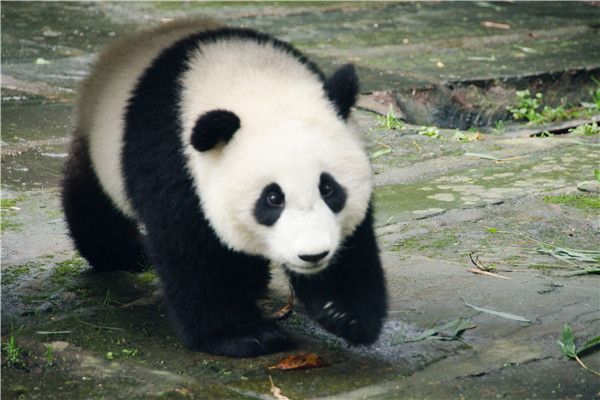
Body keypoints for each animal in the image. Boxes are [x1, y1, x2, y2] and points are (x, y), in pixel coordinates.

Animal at [62, 17, 390, 358]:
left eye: (328, 188)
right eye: (273, 198)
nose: (313, 255)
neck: (258, 84)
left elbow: (354, 241)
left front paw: (345, 313)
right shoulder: (172, 159)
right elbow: (191, 250)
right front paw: (243, 335)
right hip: (101, 144)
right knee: (93, 199)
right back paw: (124, 255)